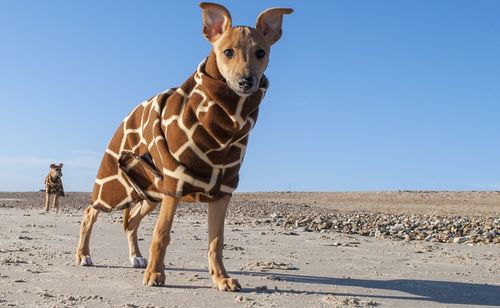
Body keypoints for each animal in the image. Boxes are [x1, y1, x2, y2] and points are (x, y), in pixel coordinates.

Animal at [74, 2, 292, 292]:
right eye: (228, 52)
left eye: (261, 52)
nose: (247, 82)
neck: (225, 123)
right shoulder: (175, 184)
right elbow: (161, 234)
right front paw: (156, 274)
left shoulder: (222, 189)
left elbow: (216, 242)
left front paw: (220, 278)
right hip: (116, 184)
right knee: (91, 212)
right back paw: (83, 254)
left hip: (151, 193)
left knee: (132, 223)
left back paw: (136, 257)